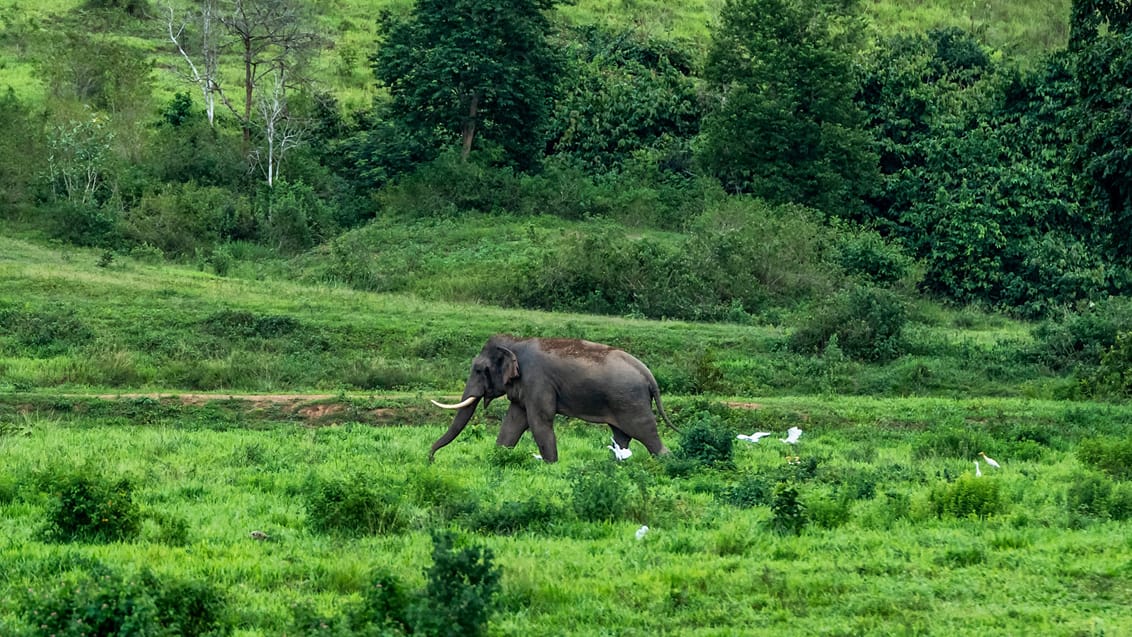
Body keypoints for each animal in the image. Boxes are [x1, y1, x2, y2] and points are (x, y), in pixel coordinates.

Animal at [430, 334, 679, 463]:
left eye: (479, 370)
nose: (431, 459)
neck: (516, 342)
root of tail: (648, 374)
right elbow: (513, 422)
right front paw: (498, 457)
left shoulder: (537, 380)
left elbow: (539, 420)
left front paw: (551, 465)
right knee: (621, 435)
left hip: (631, 401)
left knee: (646, 433)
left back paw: (666, 460)